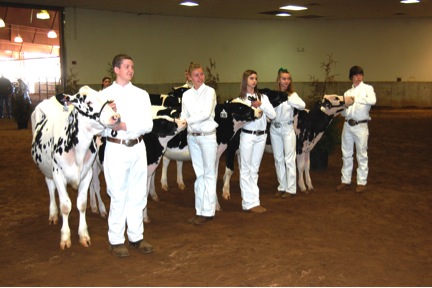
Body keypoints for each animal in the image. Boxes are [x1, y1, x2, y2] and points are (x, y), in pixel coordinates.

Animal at [30, 86, 120, 250]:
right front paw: (65, 237)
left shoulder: (87, 173)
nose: (116, 117)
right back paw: (53, 214)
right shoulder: (58, 174)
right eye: (88, 102)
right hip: (46, 168)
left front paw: (84, 235)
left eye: (105, 99)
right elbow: (66, 205)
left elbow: (81, 204)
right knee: (51, 188)